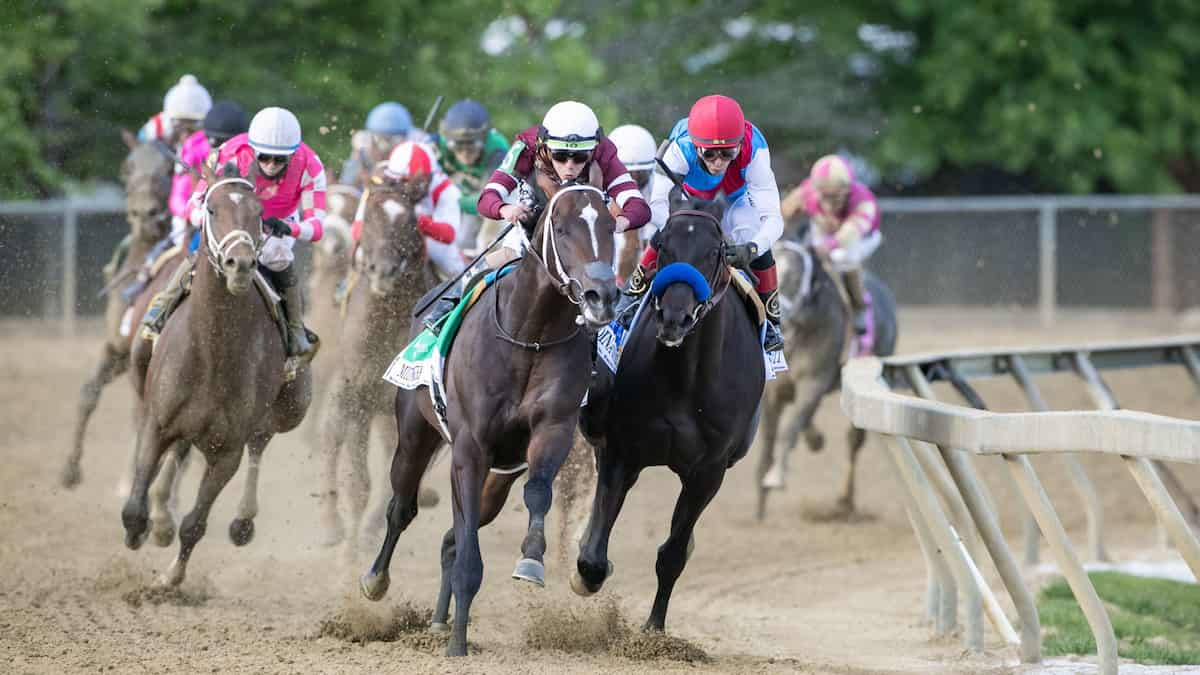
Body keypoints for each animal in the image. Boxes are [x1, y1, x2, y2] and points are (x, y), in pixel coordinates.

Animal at [62, 132, 174, 487]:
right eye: (127, 167)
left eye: (170, 168)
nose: (144, 214)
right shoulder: (118, 348)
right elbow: (88, 393)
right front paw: (70, 470)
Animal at [118, 159, 309, 586]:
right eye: (211, 207)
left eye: (259, 212)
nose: (241, 264)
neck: (212, 352)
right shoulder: (158, 422)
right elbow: (134, 505)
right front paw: (141, 529)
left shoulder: (228, 450)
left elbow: (195, 523)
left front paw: (171, 578)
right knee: (172, 449)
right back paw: (160, 516)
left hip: (291, 407)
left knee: (260, 441)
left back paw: (242, 522)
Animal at [316, 169, 434, 552]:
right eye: (368, 218)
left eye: (410, 222)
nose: (383, 271)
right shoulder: (359, 397)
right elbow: (359, 481)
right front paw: (349, 552)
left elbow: (391, 480)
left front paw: (368, 533)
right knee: (330, 436)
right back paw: (331, 525)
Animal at [573, 184, 763, 629]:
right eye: (661, 244)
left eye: (715, 252)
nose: (675, 318)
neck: (684, 382)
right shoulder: (622, 452)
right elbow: (593, 556)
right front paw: (589, 574)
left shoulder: (709, 471)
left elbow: (673, 553)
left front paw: (654, 628)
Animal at [753, 230, 897, 521]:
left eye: (796, 277)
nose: (776, 316)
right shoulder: (773, 392)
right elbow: (769, 440)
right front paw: (760, 503)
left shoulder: (814, 381)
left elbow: (789, 428)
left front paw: (775, 477)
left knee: (853, 440)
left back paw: (845, 501)